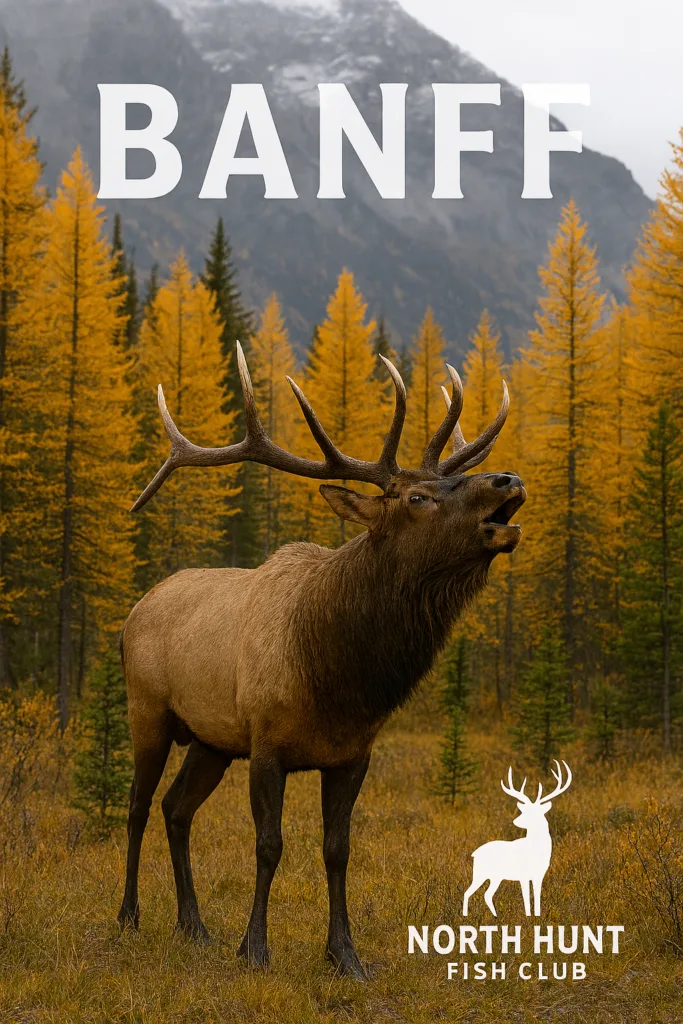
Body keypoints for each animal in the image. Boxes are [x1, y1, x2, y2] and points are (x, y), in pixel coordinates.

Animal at [118, 341, 526, 980]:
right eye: (416, 497)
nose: (508, 477)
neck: (338, 678)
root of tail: (133, 612)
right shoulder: (266, 745)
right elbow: (270, 846)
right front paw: (255, 948)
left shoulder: (352, 755)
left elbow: (338, 851)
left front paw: (345, 955)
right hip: (149, 711)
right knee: (137, 805)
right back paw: (130, 916)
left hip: (210, 739)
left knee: (175, 808)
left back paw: (195, 926)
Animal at [462, 760, 572, 919]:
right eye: (524, 811)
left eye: (534, 813)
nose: (515, 821)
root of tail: (475, 853)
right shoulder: (523, 875)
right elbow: (526, 897)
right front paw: (527, 916)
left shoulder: (539, 874)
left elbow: (537, 897)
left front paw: (537, 915)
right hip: (480, 873)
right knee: (468, 892)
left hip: (495, 876)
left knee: (486, 894)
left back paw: (495, 915)